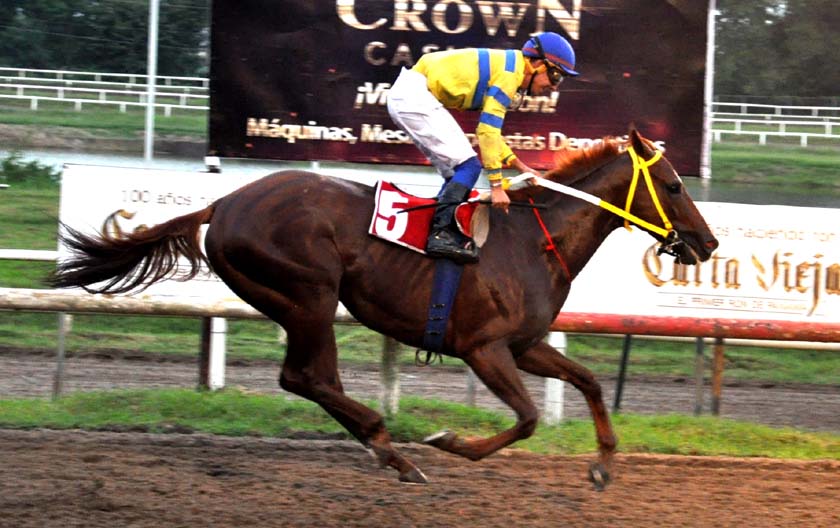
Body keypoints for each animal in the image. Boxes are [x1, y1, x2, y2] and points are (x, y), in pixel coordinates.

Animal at [50, 129, 716, 490]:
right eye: (675, 186)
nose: (707, 244)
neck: (534, 237)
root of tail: (224, 202)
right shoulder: (484, 349)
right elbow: (527, 418)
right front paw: (450, 441)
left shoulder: (525, 345)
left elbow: (591, 382)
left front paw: (602, 467)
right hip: (309, 295)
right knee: (305, 376)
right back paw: (390, 447)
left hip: (301, 302)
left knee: (313, 380)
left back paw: (385, 449)